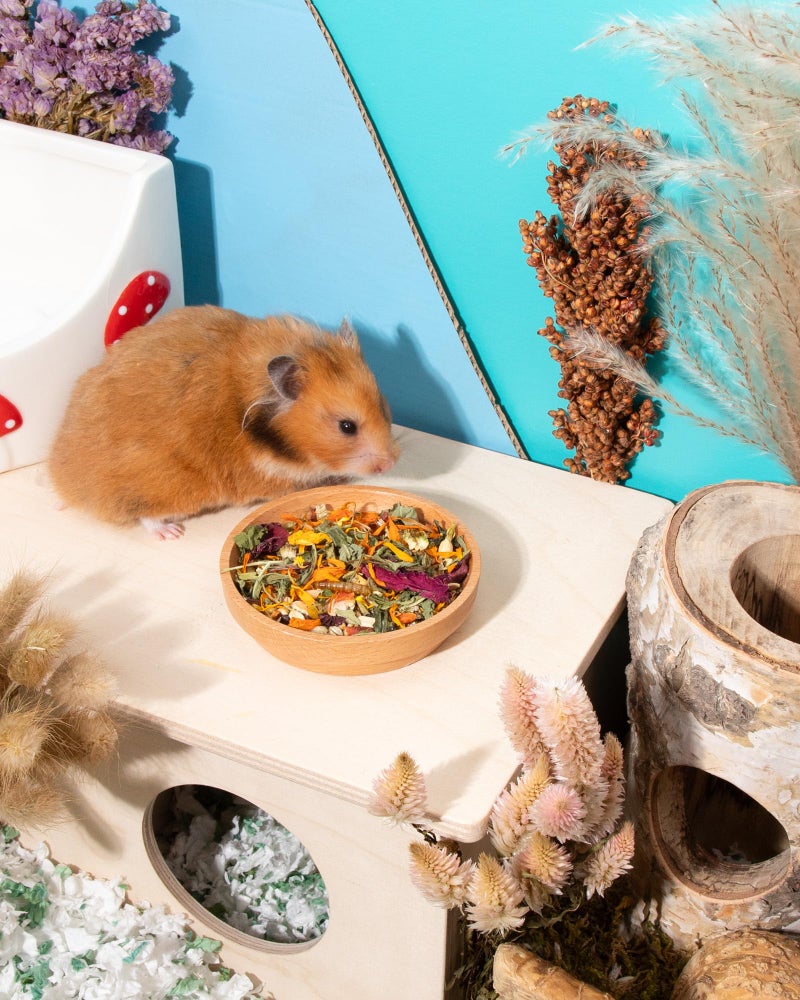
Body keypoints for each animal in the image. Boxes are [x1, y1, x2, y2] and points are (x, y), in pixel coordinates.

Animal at [47, 305, 399, 539]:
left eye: (383, 406)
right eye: (347, 427)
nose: (390, 464)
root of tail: (67, 485)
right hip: (166, 486)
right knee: (145, 515)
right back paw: (172, 532)